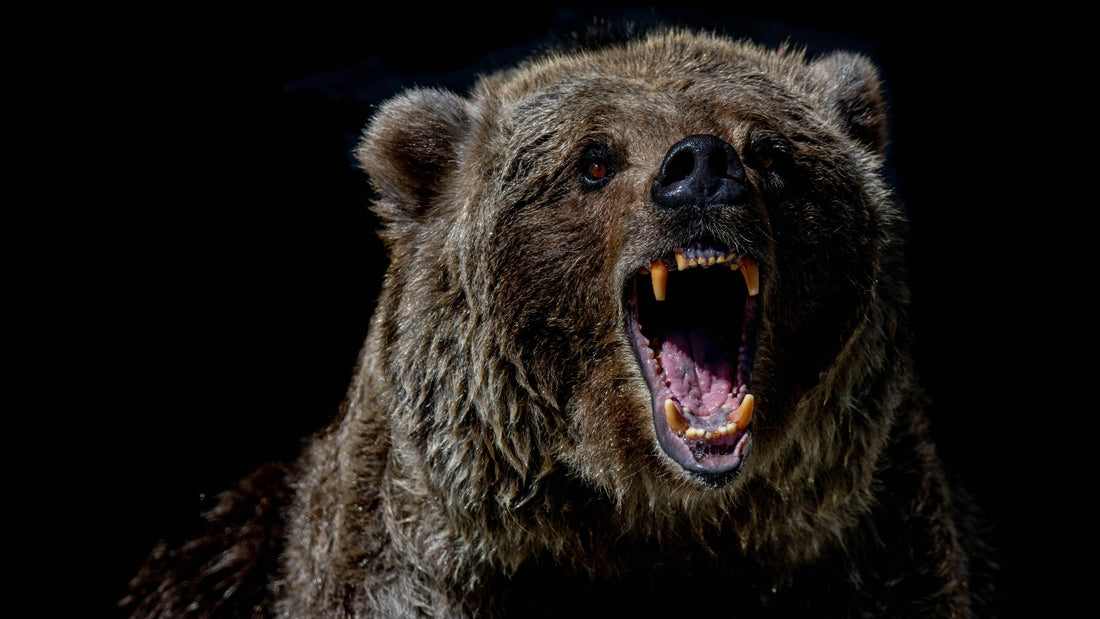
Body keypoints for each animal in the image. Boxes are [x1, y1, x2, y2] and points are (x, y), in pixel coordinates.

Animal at [124, 29, 994, 617]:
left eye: (771, 149)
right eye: (594, 160)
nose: (701, 167)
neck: (651, 522)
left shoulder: (867, 553)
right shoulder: (418, 569)